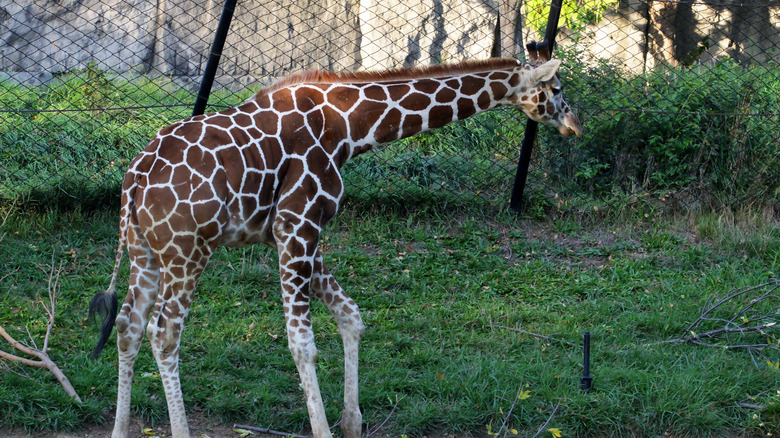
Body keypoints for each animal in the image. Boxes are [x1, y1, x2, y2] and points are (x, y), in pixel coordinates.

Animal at [88, 44, 581, 438]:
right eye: (556, 88)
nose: (574, 124)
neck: (347, 128)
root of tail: (134, 178)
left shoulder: (294, 233)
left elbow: (351, 316)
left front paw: (352, 421)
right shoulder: (298, 225)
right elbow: (302, 342)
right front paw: (326, 428)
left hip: (145, 253)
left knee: (129, 326)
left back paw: (119, 430)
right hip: (186, 252)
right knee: (164, 333)